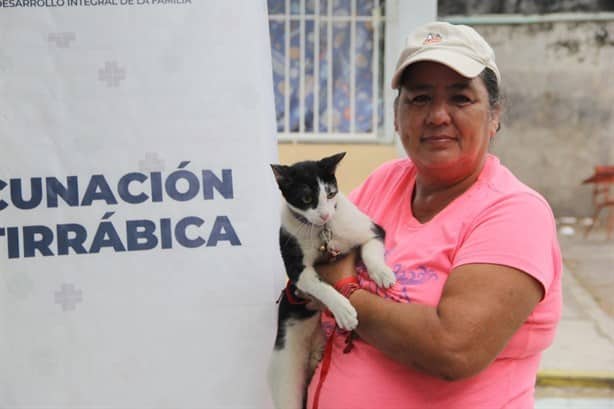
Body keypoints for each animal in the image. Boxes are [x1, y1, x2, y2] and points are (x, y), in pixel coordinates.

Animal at [268, 152, 394, 408]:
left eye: (331, 193)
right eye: (307, 198)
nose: (326, 214)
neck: (323, 231)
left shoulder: (371, 230)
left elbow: (371, 250)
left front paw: (382, 273)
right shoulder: (297, 268)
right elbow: (320, 285)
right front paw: (343, 310)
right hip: (285, 374)